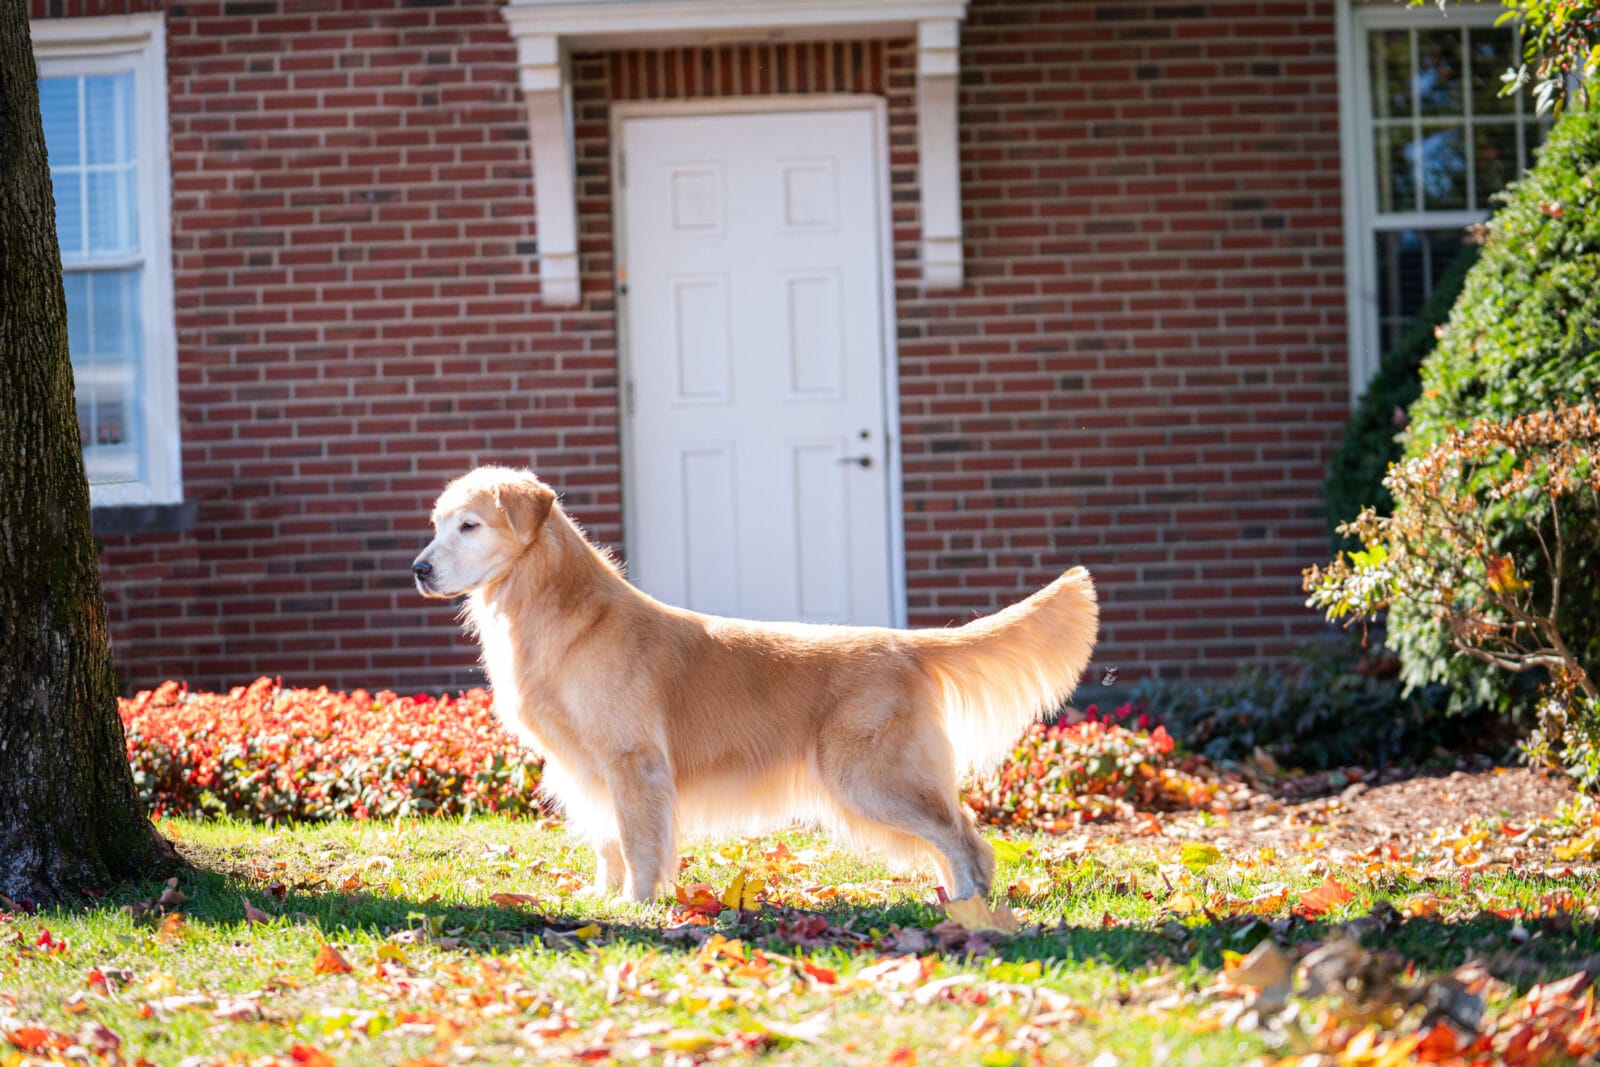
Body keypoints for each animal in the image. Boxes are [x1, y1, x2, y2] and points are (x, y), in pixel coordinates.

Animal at [416, 467, 1100, 902]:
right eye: (438, 524)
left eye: (469, 526)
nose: (419, 568)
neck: (560, 611)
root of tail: (906, 643)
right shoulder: (586, 769)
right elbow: (609, 842)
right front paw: (602, 900)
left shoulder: (633, 762)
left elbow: (638, 842)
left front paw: (639, 903)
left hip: (870, 779)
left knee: (964, 839)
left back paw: (967, 908)